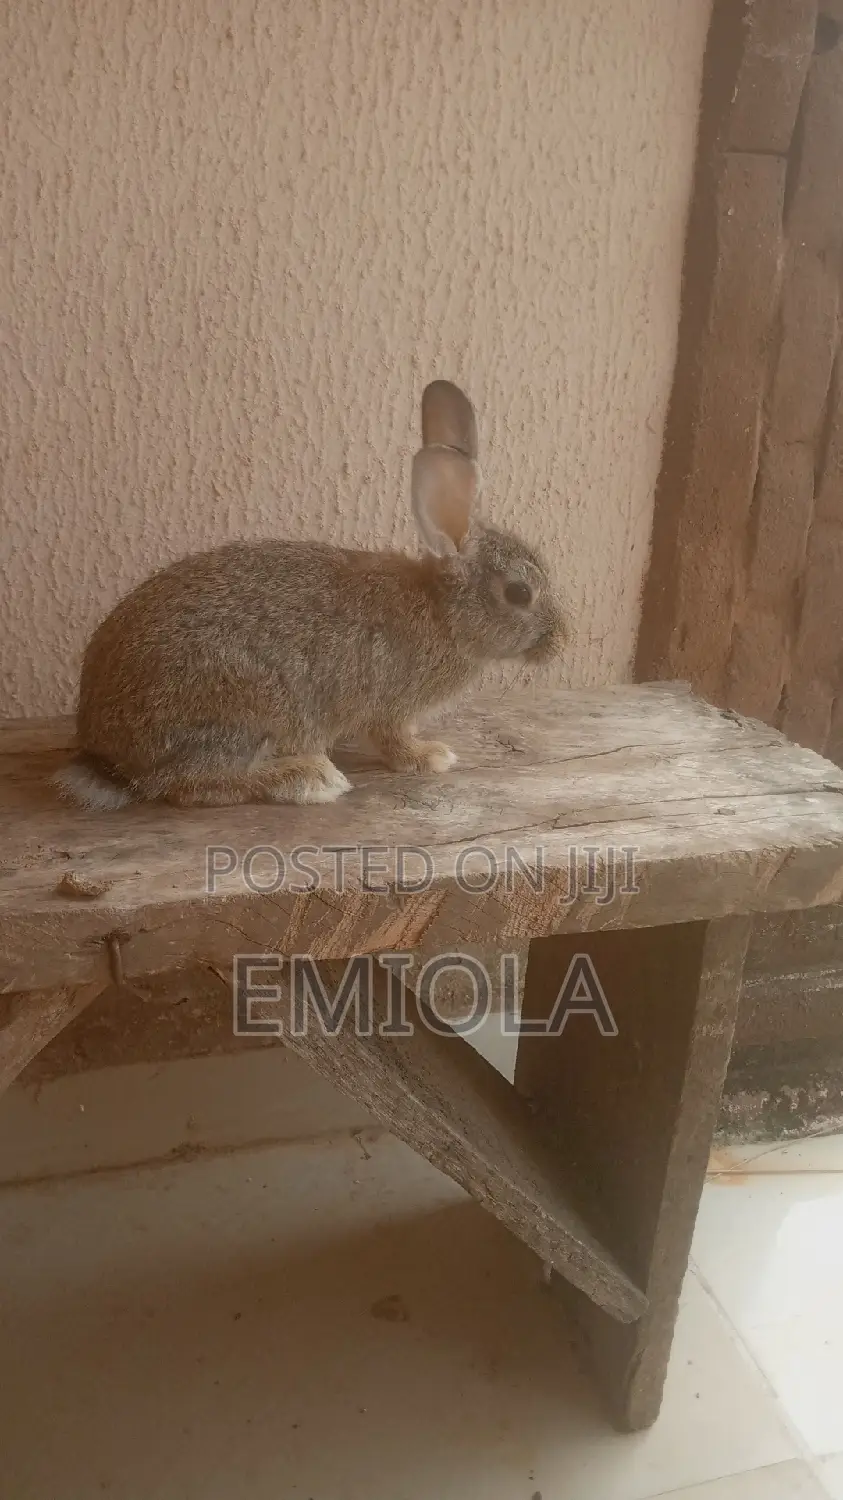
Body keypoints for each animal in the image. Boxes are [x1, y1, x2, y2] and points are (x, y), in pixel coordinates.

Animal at [53, 381, 566, 810]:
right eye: (519, 593)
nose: (558, 643)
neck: (443, 614)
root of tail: (106, 749)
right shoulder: (390, 706)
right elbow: (393, 739)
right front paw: (430, 756)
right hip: (247, 711)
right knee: (188, 784)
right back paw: (308, 779)